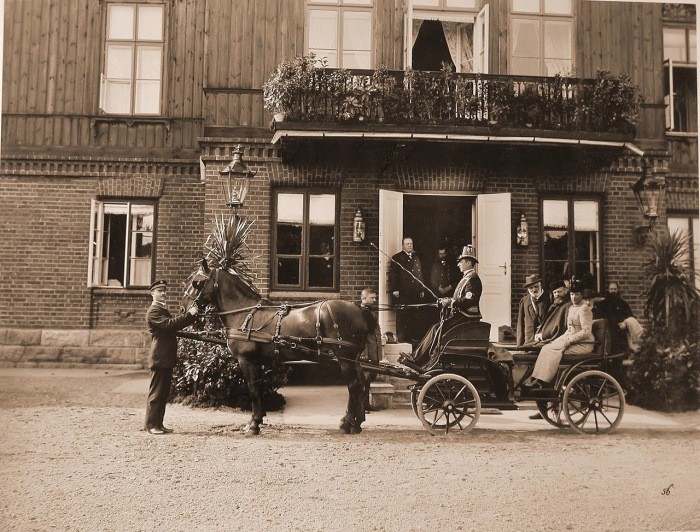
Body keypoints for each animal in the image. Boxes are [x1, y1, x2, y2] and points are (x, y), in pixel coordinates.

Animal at [181, 259, 370, 435]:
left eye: (196, 282)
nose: (184, 308)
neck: (243, 313)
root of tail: (359, 310)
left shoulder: (246, 360)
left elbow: (253, 390)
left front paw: (253, 425)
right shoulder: (256, 362)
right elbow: (258, 389)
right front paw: (257, 419)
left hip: (345, 358)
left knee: (353, 385)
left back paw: (347, 423)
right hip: (354, 359)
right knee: (361, 383)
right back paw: (357, 423)